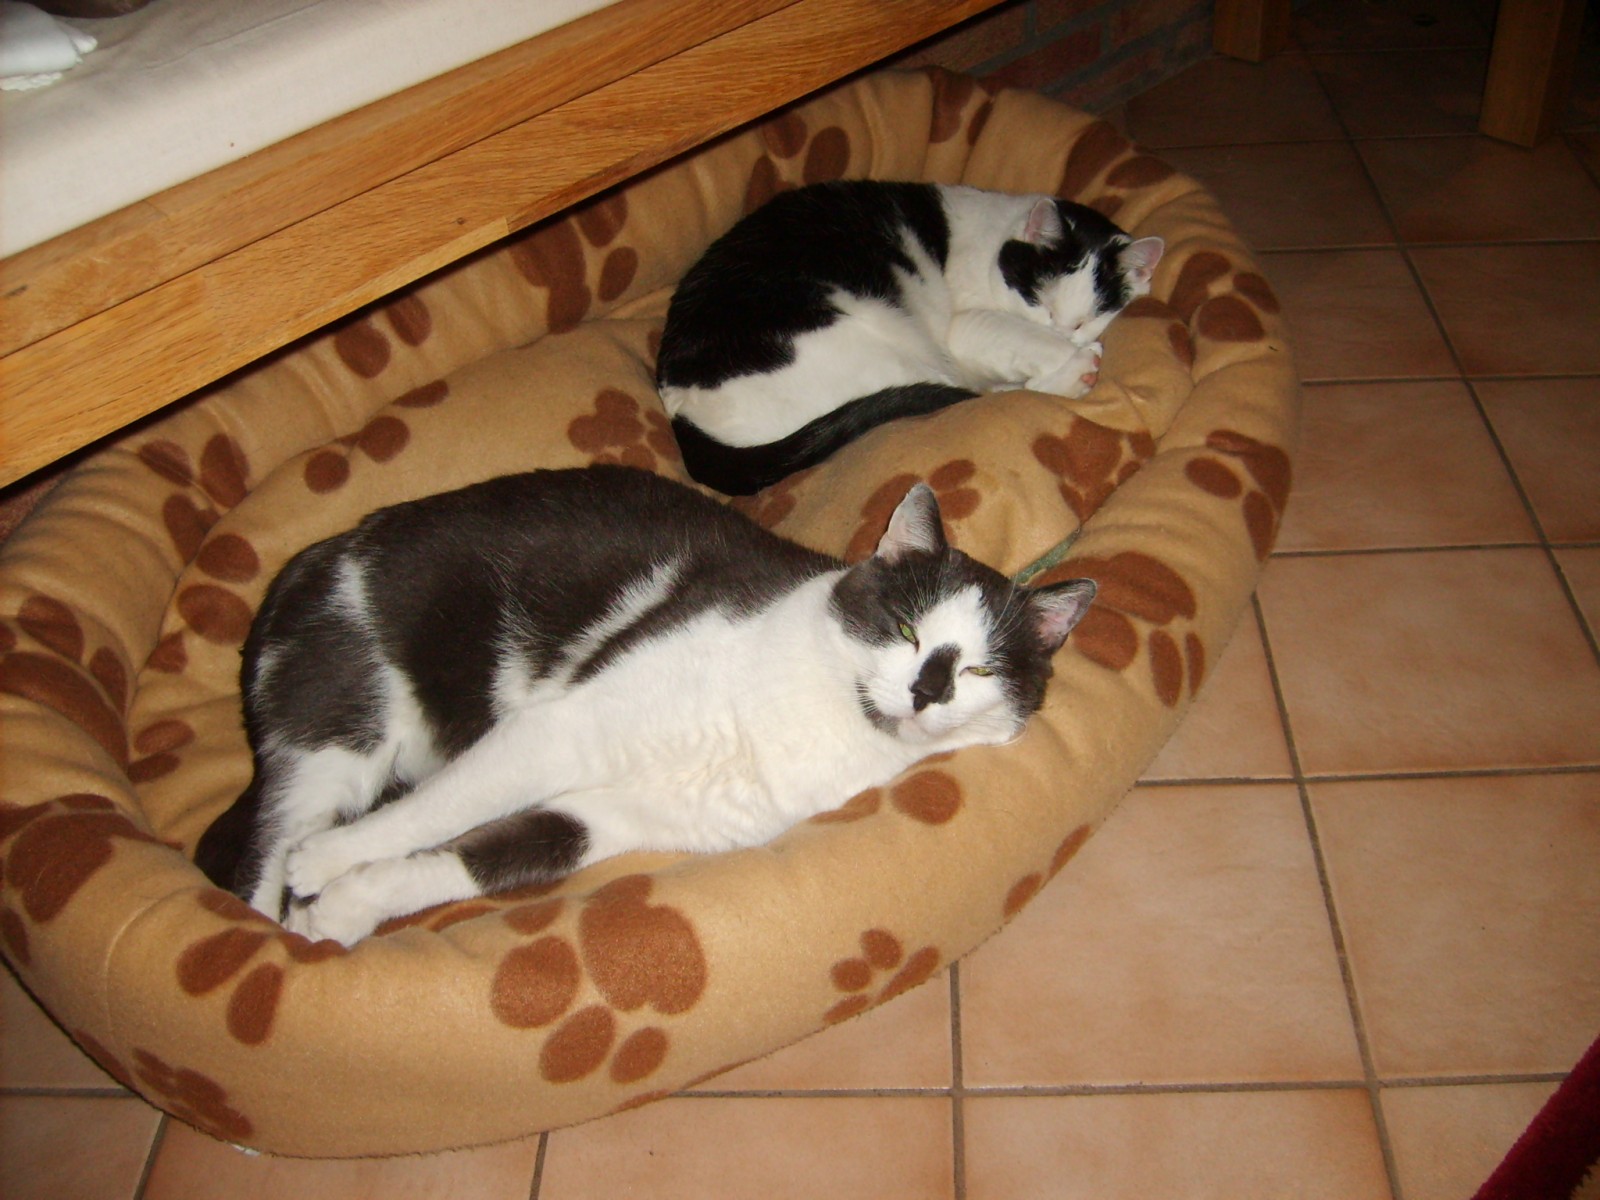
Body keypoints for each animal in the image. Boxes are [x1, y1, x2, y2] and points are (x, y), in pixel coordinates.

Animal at [193, 464, 1097, 945]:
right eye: (906, 628)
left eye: (978, 670)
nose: (924, 688)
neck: (820, 720)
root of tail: (308, 563)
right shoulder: (558, 729)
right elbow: (439, 811)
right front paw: (331, 866)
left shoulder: (618, 815)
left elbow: (487, 853)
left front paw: (347, 906)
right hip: (340, 736)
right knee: (267, 845)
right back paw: (269, 931)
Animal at [655, 179, 1165, 496]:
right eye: (1038, 299)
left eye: (1087, 317)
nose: (1063, 330)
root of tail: (681, 417)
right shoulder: (966, 327)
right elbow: (1020, 342)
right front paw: (1070, 358)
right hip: (881, 344)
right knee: (982, 395)